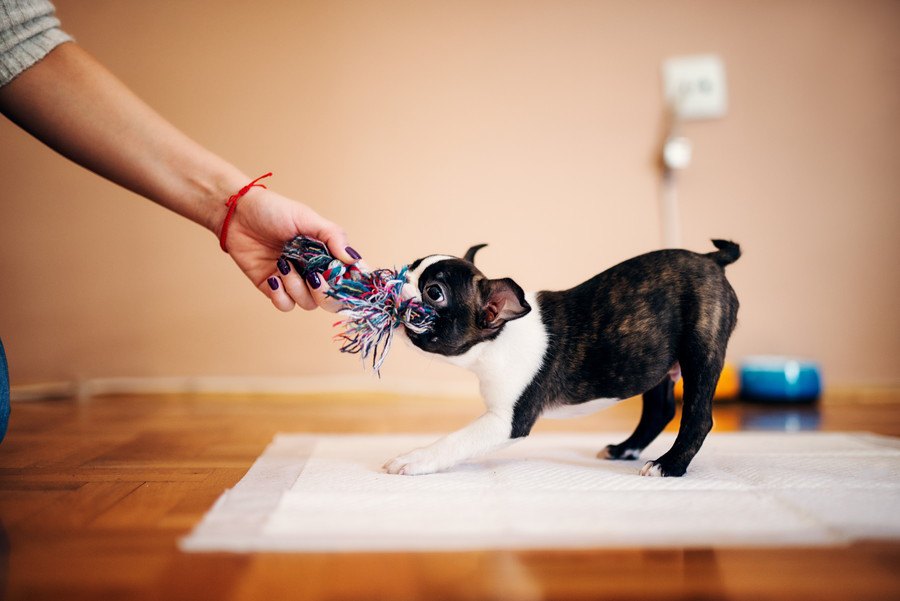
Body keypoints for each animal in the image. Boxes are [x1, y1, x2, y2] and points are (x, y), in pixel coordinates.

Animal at [384, 239, 740, 478]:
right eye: (410, 267)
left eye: (434, 292)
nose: (397, 280)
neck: (497, 339)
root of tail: (710, 259)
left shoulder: (505, 421)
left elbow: (457, 440)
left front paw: (414, 458)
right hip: (655, 362)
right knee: (660, 410)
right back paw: (624, 449)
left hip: (699, 350)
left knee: (698, 417)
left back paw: (669, 465)